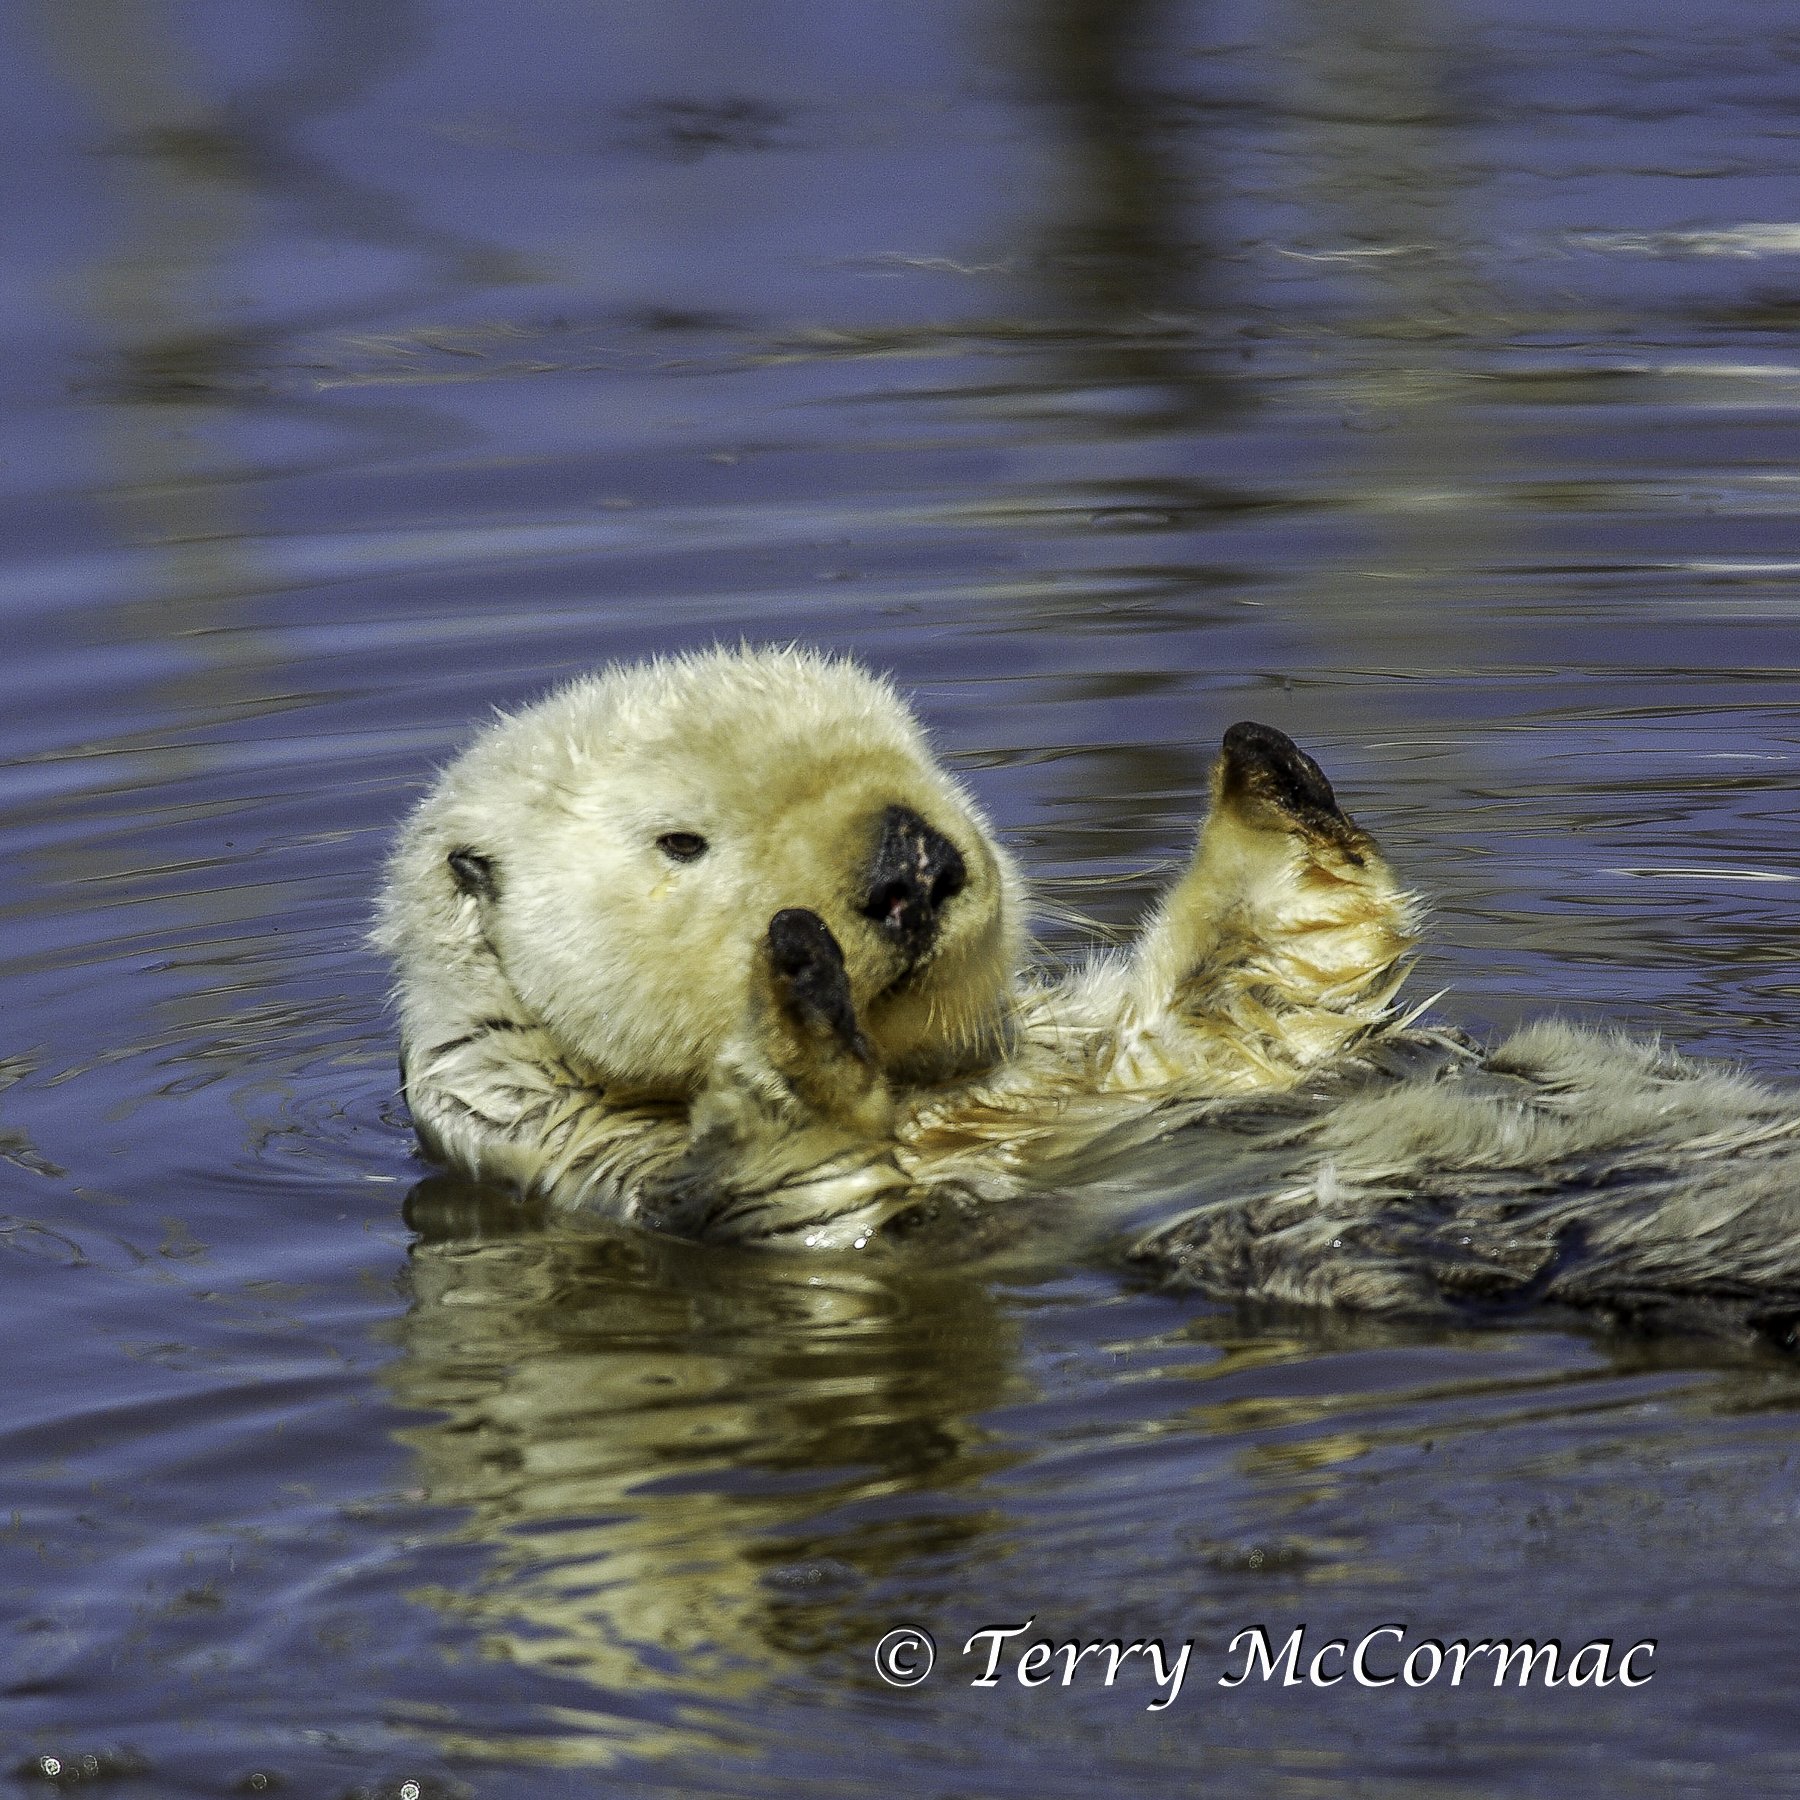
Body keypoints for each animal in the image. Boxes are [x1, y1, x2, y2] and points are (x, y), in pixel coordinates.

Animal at [377, 645, 1800, 1343]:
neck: (947, 1092)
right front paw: (790, 1005)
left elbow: (1277, 976)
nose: (910, 863)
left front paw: (1267, 769)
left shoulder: (1130, 1050)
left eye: (916, 756)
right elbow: (805, 1187)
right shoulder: (599, 1167)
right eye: (681, 841)